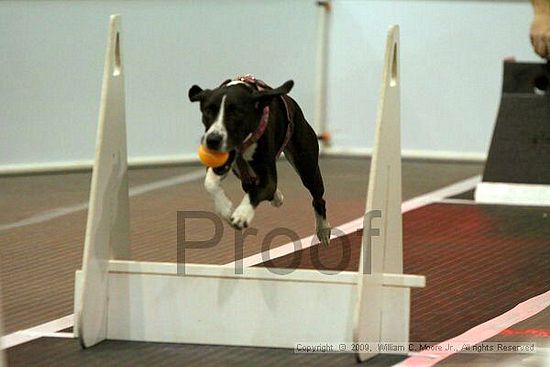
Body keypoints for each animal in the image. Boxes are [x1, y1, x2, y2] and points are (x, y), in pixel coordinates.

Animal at [188, 75, 332, 247]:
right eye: (208, 111)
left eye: (237, 113)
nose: (213, 139)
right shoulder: (221, 164)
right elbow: (209, 183)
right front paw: (226, 209)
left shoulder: (268, 176)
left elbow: (259, 191)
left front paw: (242, 214)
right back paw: (275, 197)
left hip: (307, 168)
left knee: (318, 198)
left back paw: (323, 229)